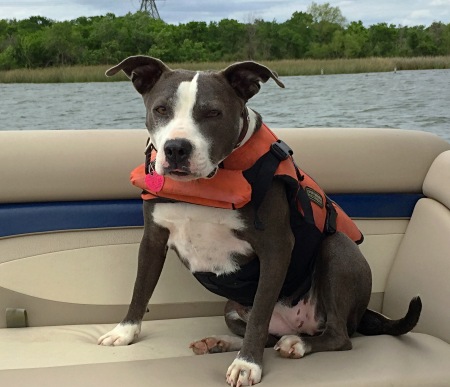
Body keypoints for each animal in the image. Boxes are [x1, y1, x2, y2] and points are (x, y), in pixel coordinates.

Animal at [98, 56, 422, 386]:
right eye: (161, 109)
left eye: (213, 113)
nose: (176, 148)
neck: (204, 185)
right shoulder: (153, 238)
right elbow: (141, 287)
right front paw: (124, 331)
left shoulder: (275, 248)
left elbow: (260, 315)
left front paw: (247, 364)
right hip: (231, 306)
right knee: (268, 333)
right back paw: (219, 342)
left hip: (337, 251)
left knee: (335, 335)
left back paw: (297, 343)